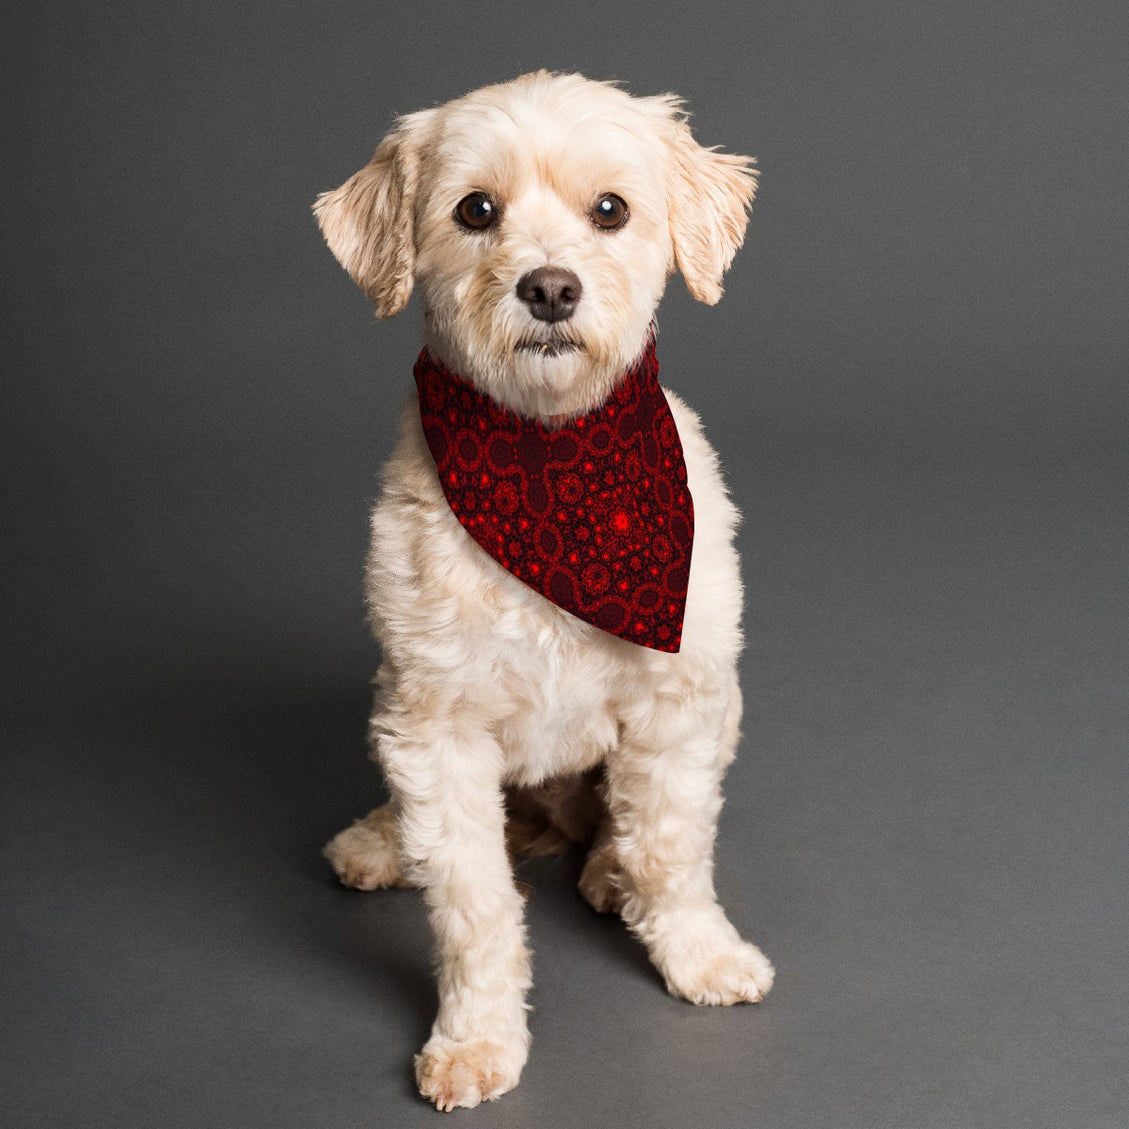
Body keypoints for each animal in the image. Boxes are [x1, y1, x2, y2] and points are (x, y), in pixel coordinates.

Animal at [313, 72, 772, 1110]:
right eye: (475, 210)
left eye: (610, 210)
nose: (551, 287)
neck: (549, 460)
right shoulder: (434, 725)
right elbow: (471, 904)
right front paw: (476, 1036)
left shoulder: (680, 702)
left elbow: (670, 846)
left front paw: (697, 951)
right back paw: (382, 841)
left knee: (617, 826)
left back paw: (605, 870)